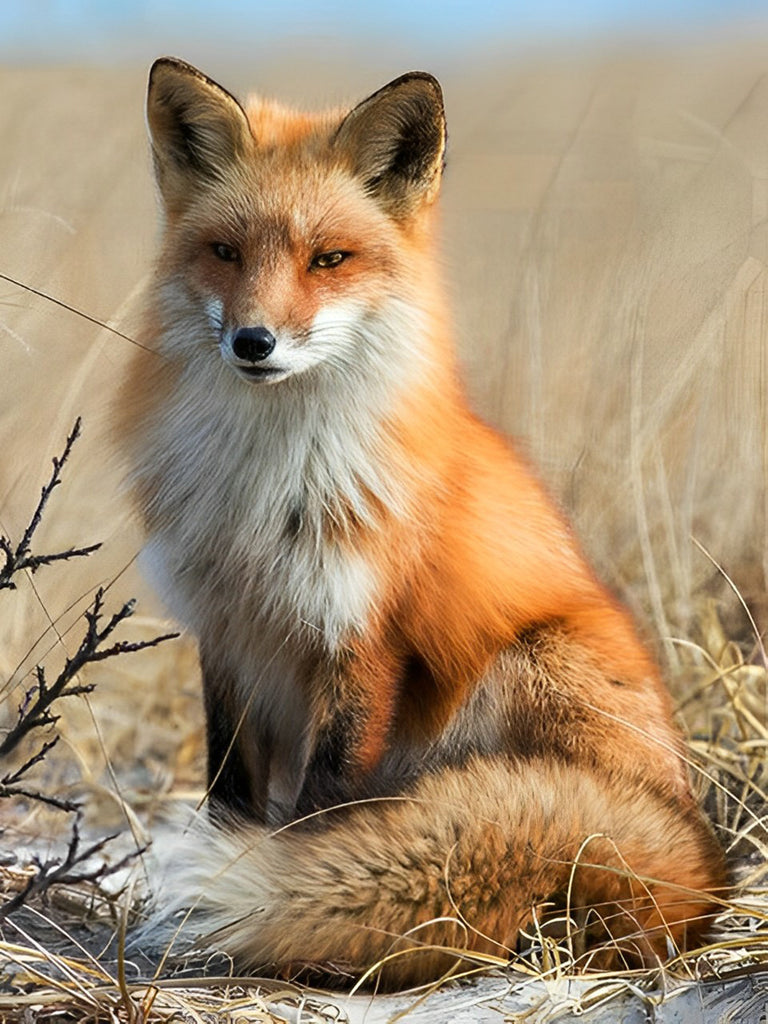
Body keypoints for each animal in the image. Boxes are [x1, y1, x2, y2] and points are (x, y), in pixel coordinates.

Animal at [120, 58, 729, 991]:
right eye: (225, 253)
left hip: (525, 662)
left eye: (328, 259)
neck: (267, 490)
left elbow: (322, 808)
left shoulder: (362, 634)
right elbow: (227, 788)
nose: (253, 342)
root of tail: (701, 873)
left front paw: (291, 904)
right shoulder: (226, 630)